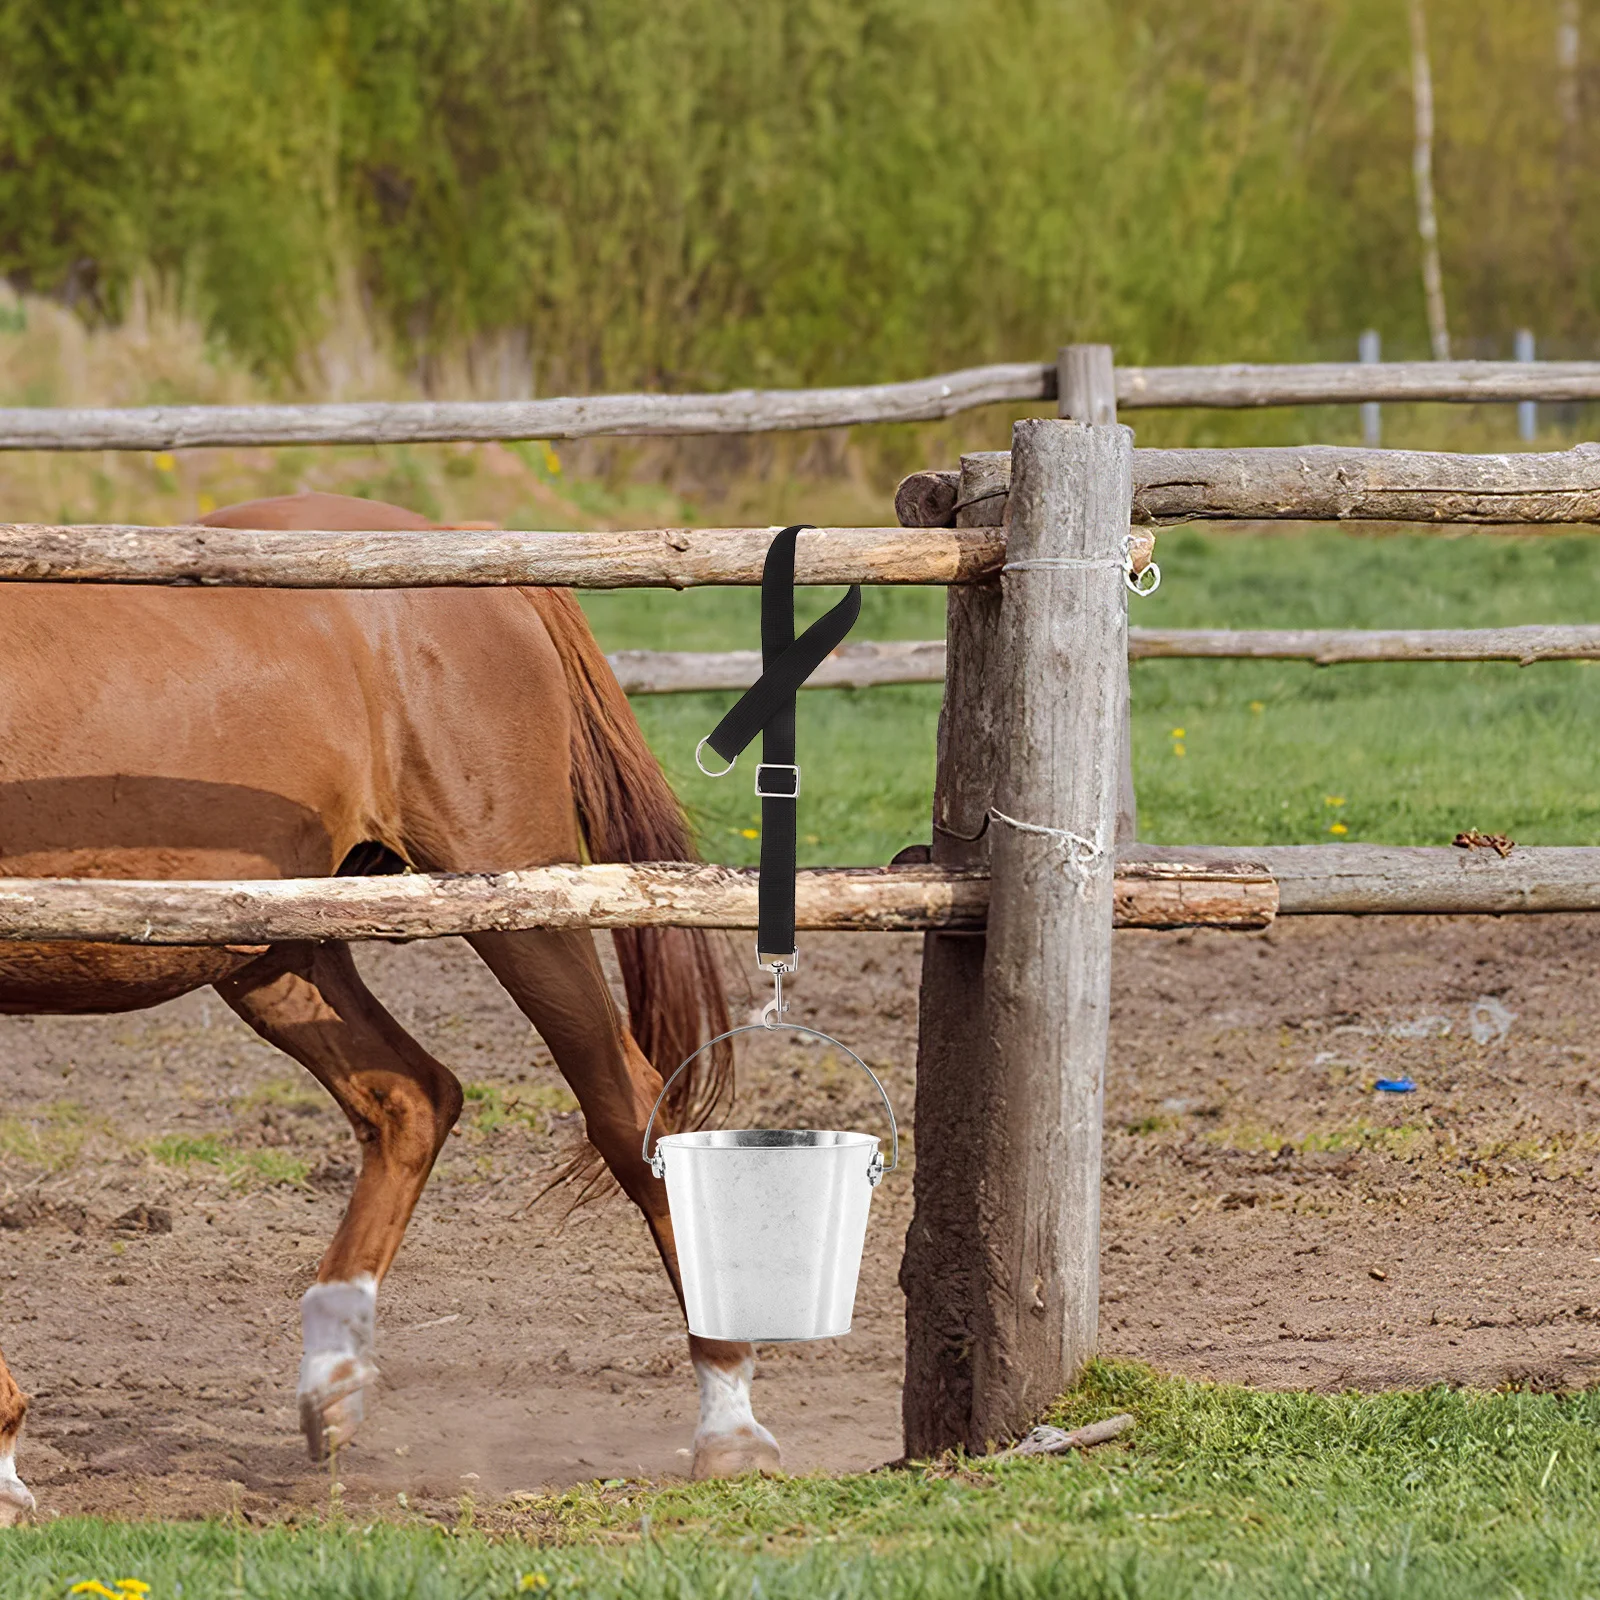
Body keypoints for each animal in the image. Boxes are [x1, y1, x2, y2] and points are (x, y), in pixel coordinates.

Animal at [0, 492, 777, 1524]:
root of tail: (462, 544)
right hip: (278, 948)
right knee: (414, 1096)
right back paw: (331, 1387)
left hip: (517, 897)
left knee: (626, 1107)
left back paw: (729, 1424)